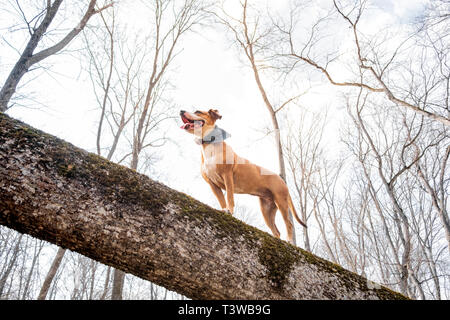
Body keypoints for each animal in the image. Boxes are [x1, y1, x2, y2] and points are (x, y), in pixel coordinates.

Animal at [179, 109, 306, 244]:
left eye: (197, 111)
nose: (181, 111)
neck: (210, 144)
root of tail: (281, 179)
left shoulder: (227, 176)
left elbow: (229, 198)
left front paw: (230, 211)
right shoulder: (212, 184)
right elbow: (222, 200)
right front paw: (224, 210)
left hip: (281, 202)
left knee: (289, 224)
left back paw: (290, 241)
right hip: (266, 209)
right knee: (276, 231)